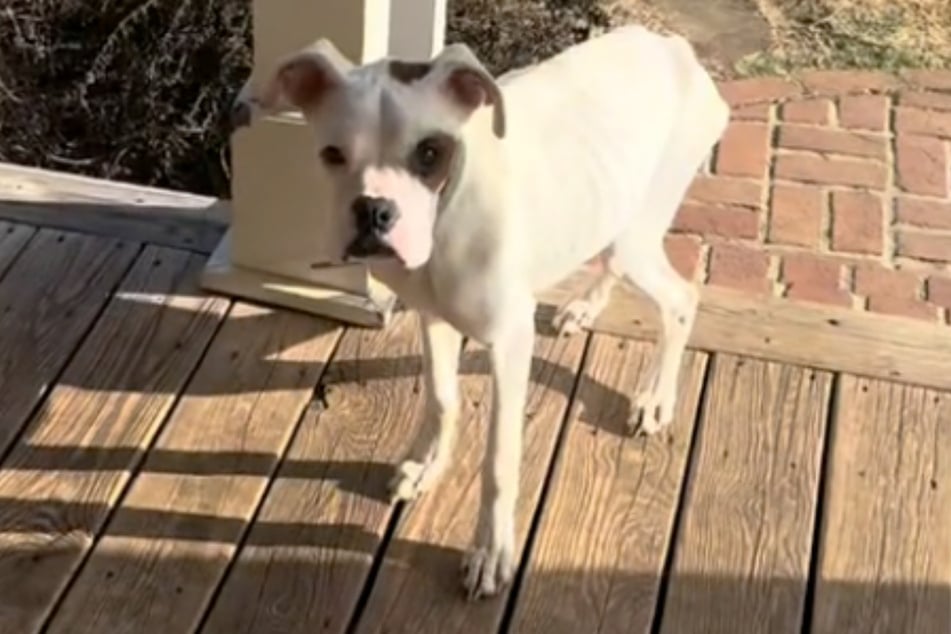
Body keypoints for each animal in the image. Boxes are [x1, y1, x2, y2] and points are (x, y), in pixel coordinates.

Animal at [234, 24, 732, 596]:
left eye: (430, 152)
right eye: (333, 154)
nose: (374, 210)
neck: (447, 215)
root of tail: (673, 46)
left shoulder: (509, 344)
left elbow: (499, 461)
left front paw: (490, 551)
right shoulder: (433, 318)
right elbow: (441, 397)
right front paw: (427, 466)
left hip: (639, 230)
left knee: (680, 300)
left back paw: (654, 398)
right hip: (616, 215)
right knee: (612, 261)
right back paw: (583, 308)